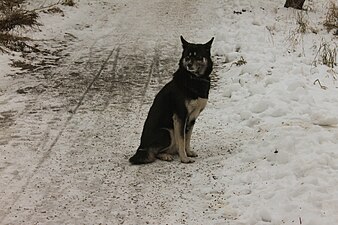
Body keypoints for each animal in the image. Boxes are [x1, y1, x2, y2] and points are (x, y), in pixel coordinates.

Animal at [129, 36, 214, 164]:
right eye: (188, 56)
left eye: (198, 56)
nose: (189, 65)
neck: (194, 79)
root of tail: (140, 149)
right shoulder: (180, 116)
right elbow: (182, 140)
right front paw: (184, 158)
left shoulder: (192, 118)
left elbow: (187, 139)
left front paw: (188, 153)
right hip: (167, 132)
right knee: (153, 153)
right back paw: (165, 156)